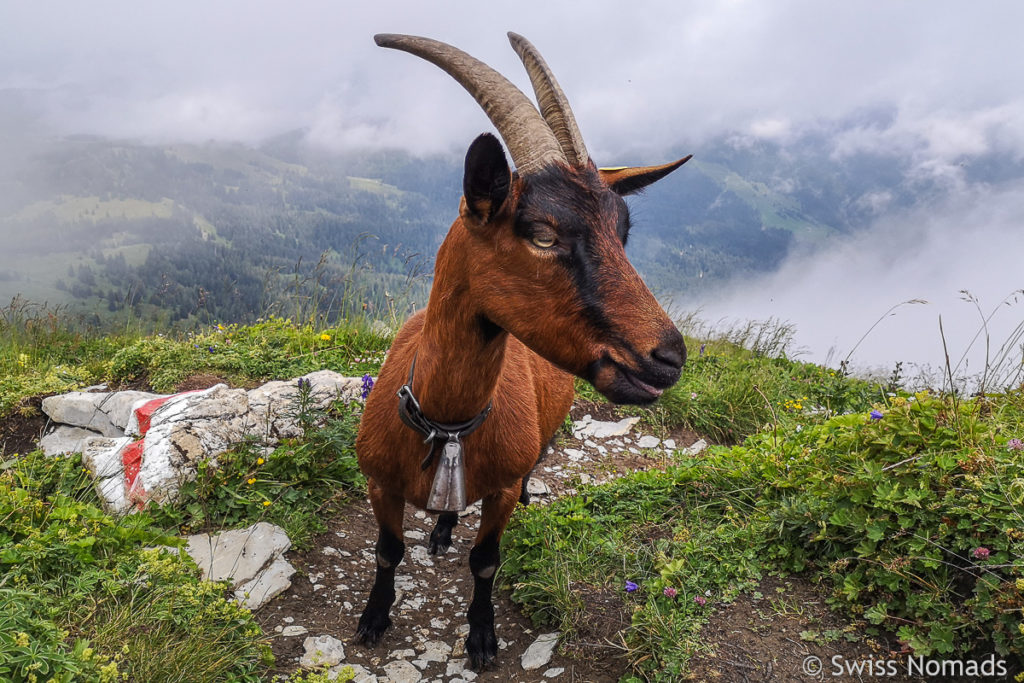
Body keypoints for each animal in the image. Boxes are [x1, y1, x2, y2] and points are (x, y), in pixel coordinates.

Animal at [356, 31, 692, 667]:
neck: (445, 422)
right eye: (542, 234)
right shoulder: (379, 484)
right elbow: (388, 551)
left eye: (622, 232)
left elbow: (486, 562)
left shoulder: (504, 491)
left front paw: (482, 638)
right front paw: (372, 618)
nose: (669, 358)